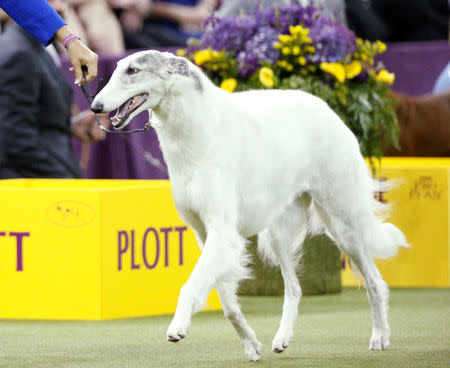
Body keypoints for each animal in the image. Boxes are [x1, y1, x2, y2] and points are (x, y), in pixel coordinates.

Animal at [90, 50, 408, 360]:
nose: (95, 107)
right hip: (279, 233)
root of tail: (326, 108)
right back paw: (282, 338)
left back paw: (380, 336)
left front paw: (178, 326)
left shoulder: (222, 232)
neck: (196, 132)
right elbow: (228, 304)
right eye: (117, 68)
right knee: (295, 288)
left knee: (374, 282)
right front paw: (251, 344)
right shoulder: (205, 234)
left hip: (342, 223)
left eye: (133, 70)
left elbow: (190, 286)